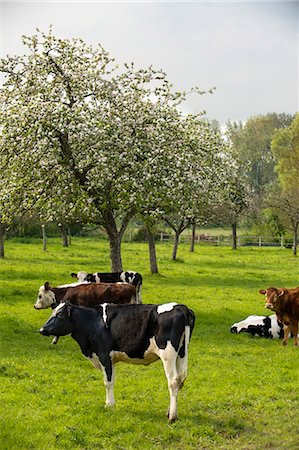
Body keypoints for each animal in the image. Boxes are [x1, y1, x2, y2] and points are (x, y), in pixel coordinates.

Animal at [38, 300, 196, 424]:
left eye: (60, 314)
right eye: (53, 312)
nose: (42, 329)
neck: (92, 322)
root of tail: (181, 307)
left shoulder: (104, 355)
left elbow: (107, 382)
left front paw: (109, 405)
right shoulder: (111, 359)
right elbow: (111, 380)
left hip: (168, 354)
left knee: (173, 381)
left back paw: (172, 416)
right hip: (182, 352)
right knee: (180, 379)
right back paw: (169, 411)